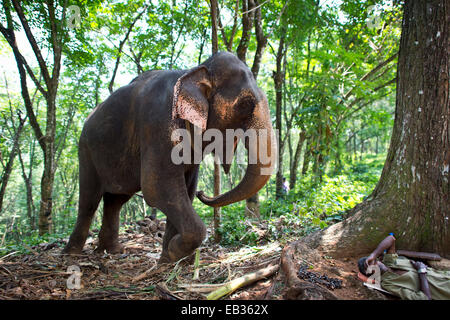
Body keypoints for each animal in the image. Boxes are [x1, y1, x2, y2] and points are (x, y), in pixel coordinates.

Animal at [62, 52, 274, 262]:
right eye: (245, 105)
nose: (203, 193)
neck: (195, 70)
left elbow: (185, 190)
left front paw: (170, 258)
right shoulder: (159, 124)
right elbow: (157, 186)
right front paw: (175, 253)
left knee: (115, 201)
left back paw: (112, 251)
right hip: (86, 150)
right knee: (89, 201)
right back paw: (72, 253)